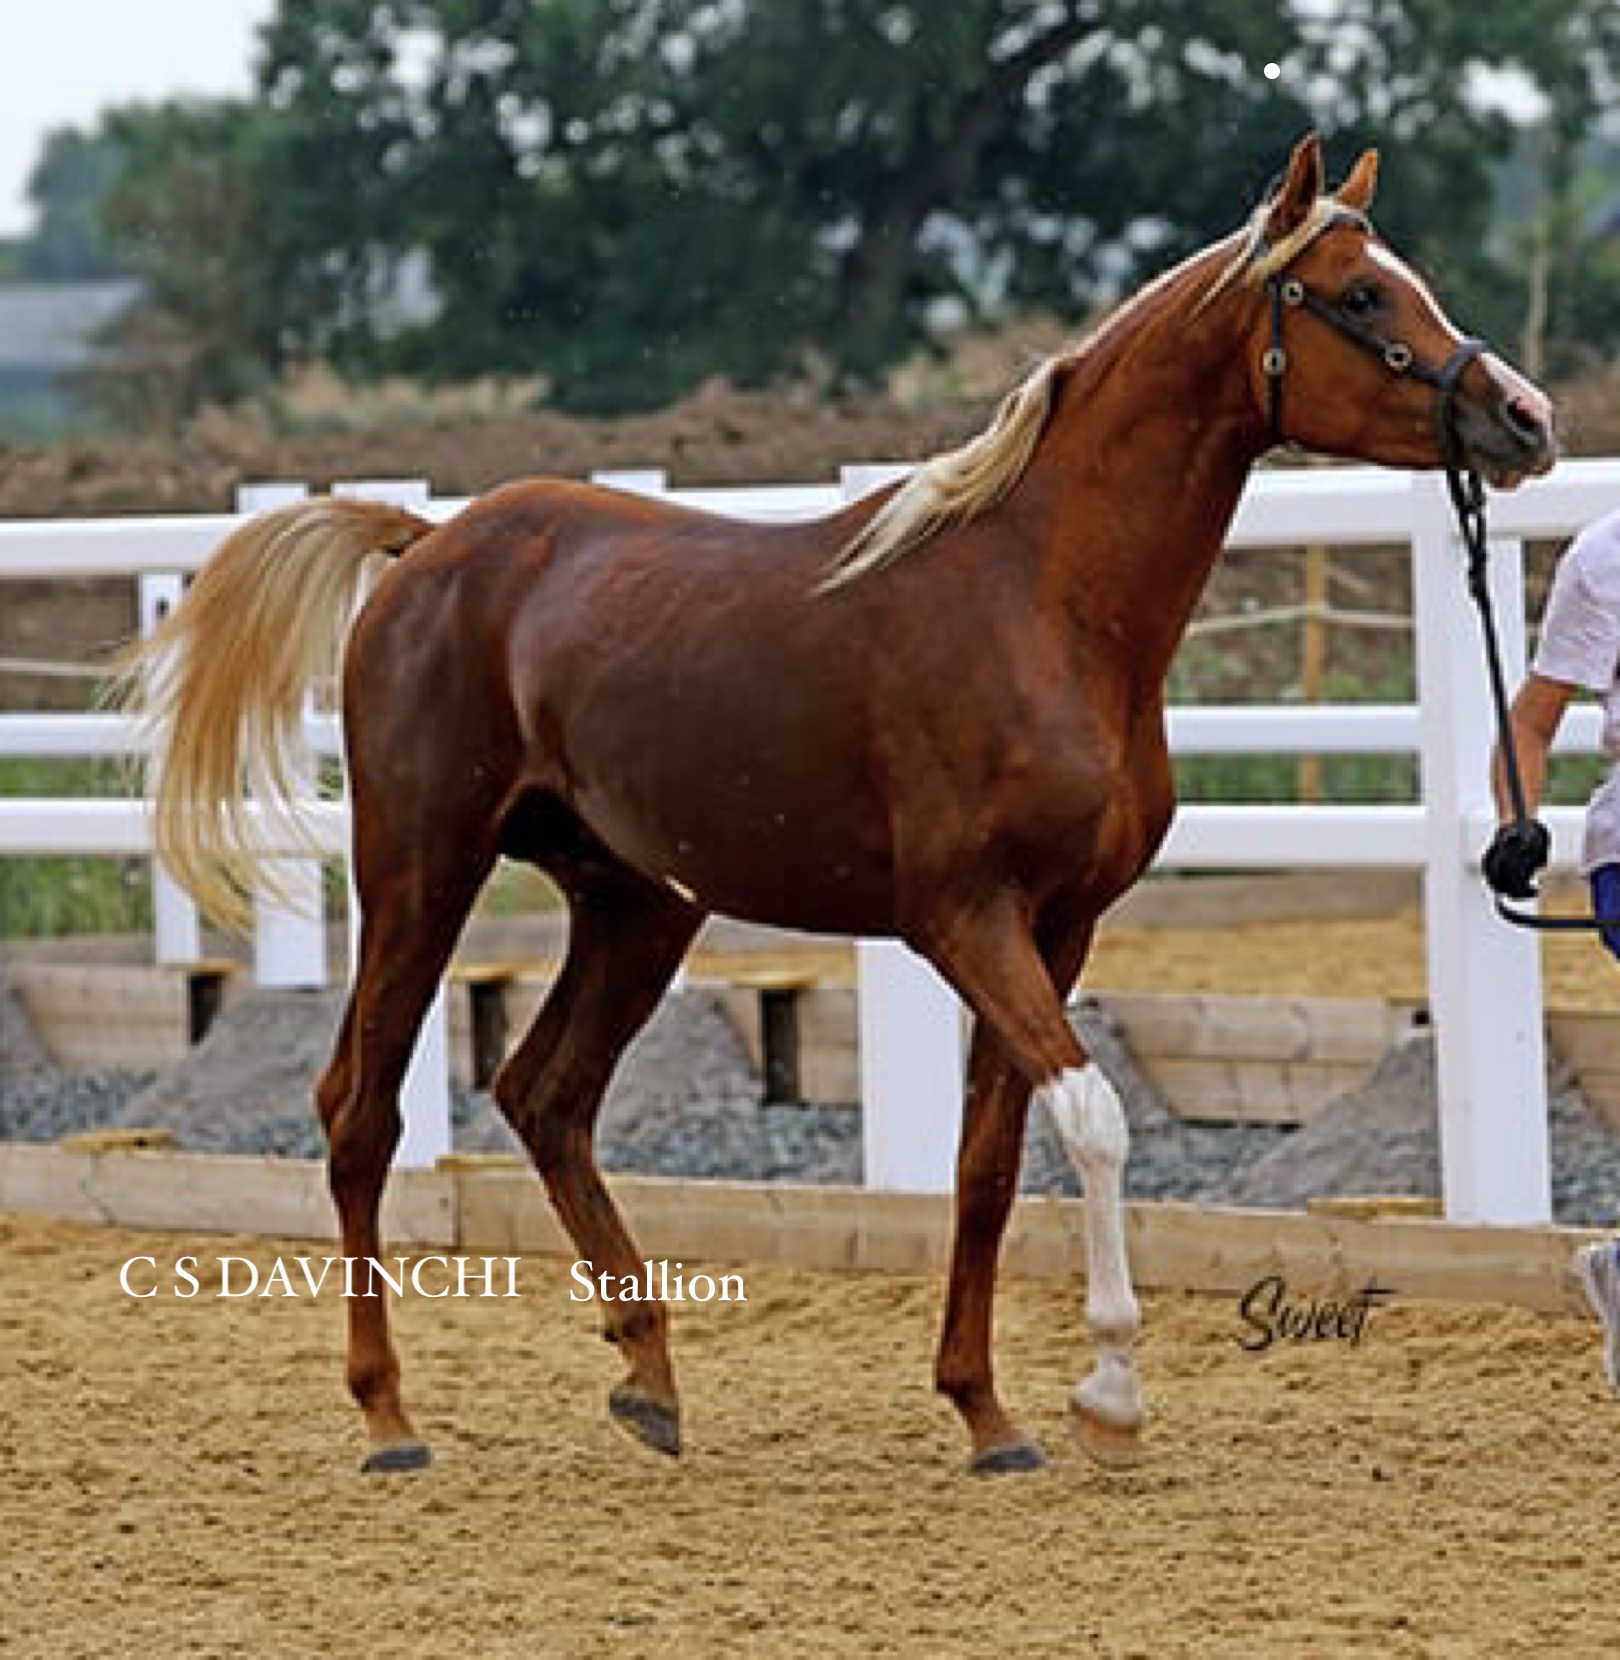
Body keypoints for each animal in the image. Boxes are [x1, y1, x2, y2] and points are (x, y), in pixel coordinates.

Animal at [124, 134, 1556, 1476]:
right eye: (1360, 293)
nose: (1526, 419)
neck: (1041, 603)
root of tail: (429, 546)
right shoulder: (964, 918)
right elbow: (1092, 1120)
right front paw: (1108, 1393)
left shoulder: (1060, 926)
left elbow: (989, 1163)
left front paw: (987, 1411)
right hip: (422, 868)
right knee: (362, 1111)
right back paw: (389, 1414)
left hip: (638, 906)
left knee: (547, 1096)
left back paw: (650, 1378)